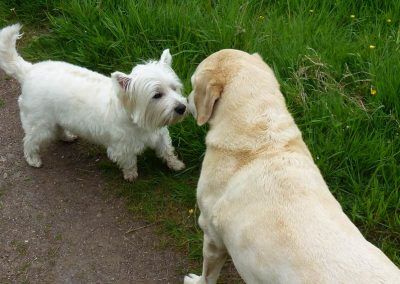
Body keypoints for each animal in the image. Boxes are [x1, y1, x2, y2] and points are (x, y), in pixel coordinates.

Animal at [0, 23, 187, 180]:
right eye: (157, 95)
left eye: (174, 88)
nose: (182, 107)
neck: (138, 120)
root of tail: (29, 70)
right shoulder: (122, 147)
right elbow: (129, 162)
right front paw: (131, 175)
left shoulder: (160, 135)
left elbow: (167, 151)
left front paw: (176, 164)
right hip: (40, 123)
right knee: (30, 141)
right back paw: (33, 159)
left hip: (56, 118)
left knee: (58, 129)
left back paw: (67, 137)